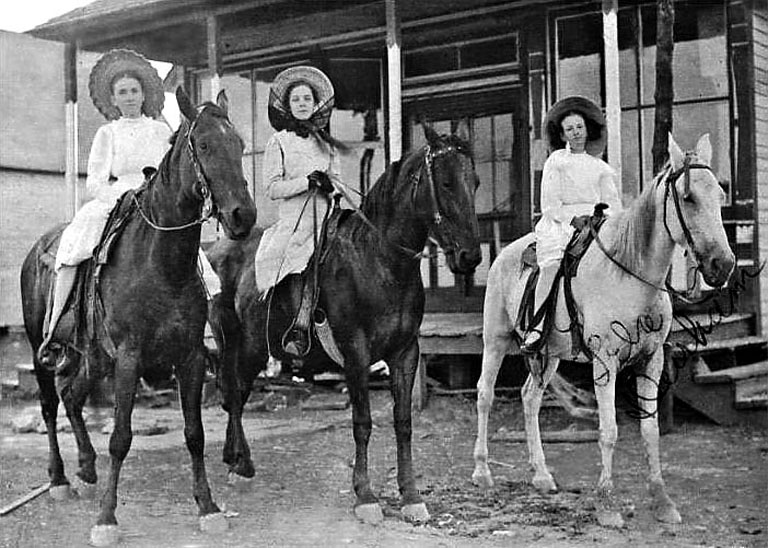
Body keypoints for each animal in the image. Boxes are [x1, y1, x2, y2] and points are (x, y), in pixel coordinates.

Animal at [18, 88, 255, 544]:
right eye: (203, 146)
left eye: (239, 145)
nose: (243, 216)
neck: (160, 262)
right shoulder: (129, 358)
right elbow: (121, 437)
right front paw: (107, 519)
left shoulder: (190, 357)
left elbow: (195, 433)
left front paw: (208, 506)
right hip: (44, 347)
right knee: (50, 404)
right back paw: (59, 479)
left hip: (94, 357)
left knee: (72, 397)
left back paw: (86, 468)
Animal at [207, 126, 476, 524]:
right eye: (445, 182)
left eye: (475, 182)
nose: (469, 256)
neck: (379, 261)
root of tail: (215, 250)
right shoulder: (355, 353)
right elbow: (362, 422)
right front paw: (365, 496)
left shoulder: (405, 353)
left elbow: (403, 422)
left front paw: (410, 496)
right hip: (235, 343)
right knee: (234, 392)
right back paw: (240, 465)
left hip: (252, 347)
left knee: (236, 392)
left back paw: (238, 460)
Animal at [472, 133, 736, 524]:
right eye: (688, 197)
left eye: (719, 195)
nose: (723, 265)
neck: (629, 273)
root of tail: (505, 254)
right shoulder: (605, 362)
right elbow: (609, 430)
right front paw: (607, 503)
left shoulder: (651, 361)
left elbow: (650, 430)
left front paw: (662, 500)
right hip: (496, 341)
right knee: (485, 395)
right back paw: (482, 472)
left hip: (549, 355)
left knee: (530, 398)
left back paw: (542, 475)